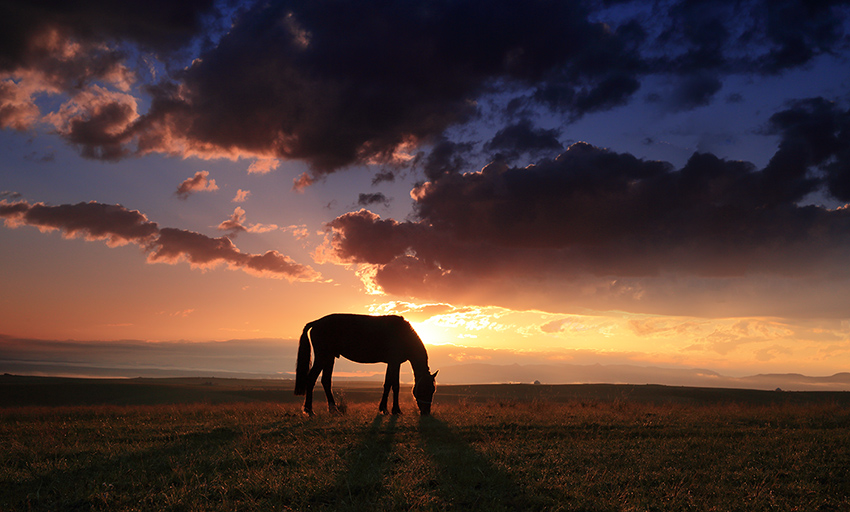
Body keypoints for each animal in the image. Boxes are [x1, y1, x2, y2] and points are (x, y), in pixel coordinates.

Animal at [294, 312, 438, 416]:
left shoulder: (391, 363)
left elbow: (387, 384)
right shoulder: (395, 362)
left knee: (325, 381)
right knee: (311, 379)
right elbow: (395, 385)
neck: (404, 335)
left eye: (433, 390)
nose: (426, 412)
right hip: (322, 357)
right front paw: (396, 410)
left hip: (329, 358)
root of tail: (316, 323)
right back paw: (309, 410)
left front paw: (383, 409)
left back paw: (333, 409)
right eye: (426, 389)